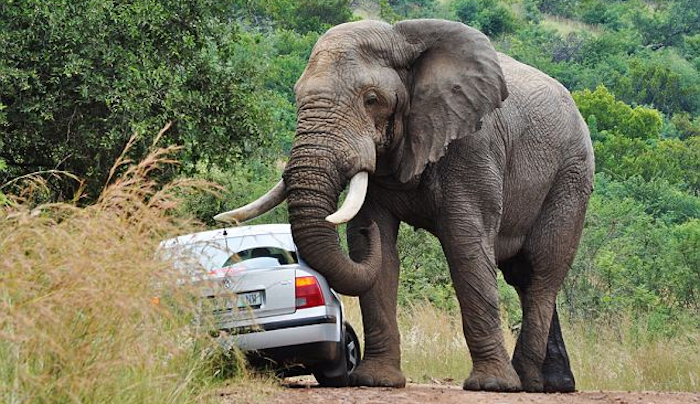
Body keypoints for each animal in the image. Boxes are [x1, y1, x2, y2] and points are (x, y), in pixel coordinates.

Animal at [215, 19, 594, 393]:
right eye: (297, 97)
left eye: (371, 99)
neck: (401, 37)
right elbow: (377, 249)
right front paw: (375, 380)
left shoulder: (473, 145)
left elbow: (465, 245)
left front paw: (493, 385)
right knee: (522, 276)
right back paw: (554, 385)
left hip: (571, 175)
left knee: (543, 268)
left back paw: (526, 380)